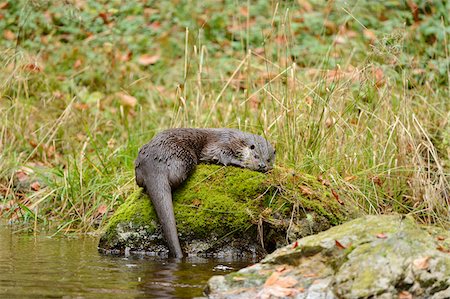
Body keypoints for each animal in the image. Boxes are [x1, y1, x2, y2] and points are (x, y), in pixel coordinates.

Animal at [134, 128, 274, 258]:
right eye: (256, 156)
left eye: (268, 159)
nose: (262, 165)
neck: (238, 140)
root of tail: (156, 163)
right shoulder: (222, 143)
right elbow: (219, 154)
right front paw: (240, 162)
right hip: (183, 157)